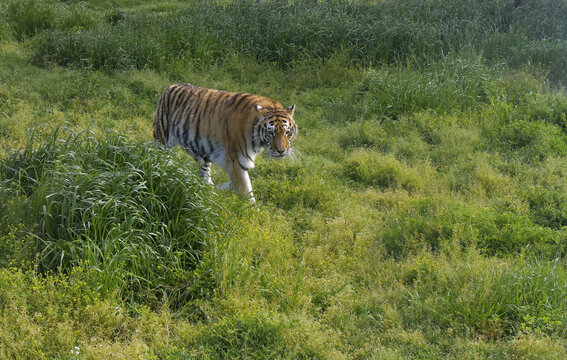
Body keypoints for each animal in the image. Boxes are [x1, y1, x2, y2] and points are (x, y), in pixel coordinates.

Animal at [153, 83, 300, 202]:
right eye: (271, 133)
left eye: (287, 132)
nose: (281, 151)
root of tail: (170, 86)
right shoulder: (236, 161)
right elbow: (245, 191)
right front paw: (255, 215)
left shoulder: (235, 163)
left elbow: (238, 182)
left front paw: (220, 188)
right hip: (162, 138)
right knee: (157, 156)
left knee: (205, 172)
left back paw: (208, 189)